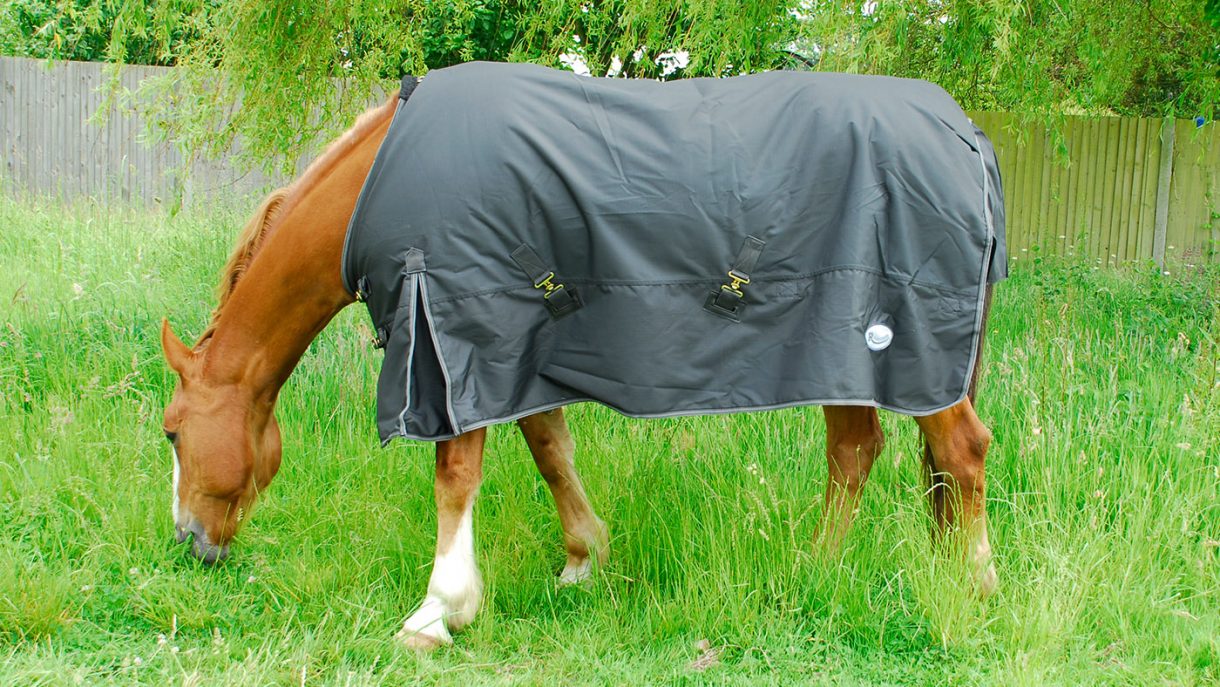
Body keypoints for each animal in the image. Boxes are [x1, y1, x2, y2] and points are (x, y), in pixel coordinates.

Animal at [161, 72, 999, 651]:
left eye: (170, 431)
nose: (190, 542)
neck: (381, 179)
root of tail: (964, 136)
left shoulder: (453, 335)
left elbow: (456, 472)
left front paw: (439, 610)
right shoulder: (515, 347)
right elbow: (550, 448)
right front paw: (581, 559)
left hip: (899, 343)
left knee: (961, 450)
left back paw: (974, 581)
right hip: (846, 353)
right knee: (856, 450)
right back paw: (815, 571)